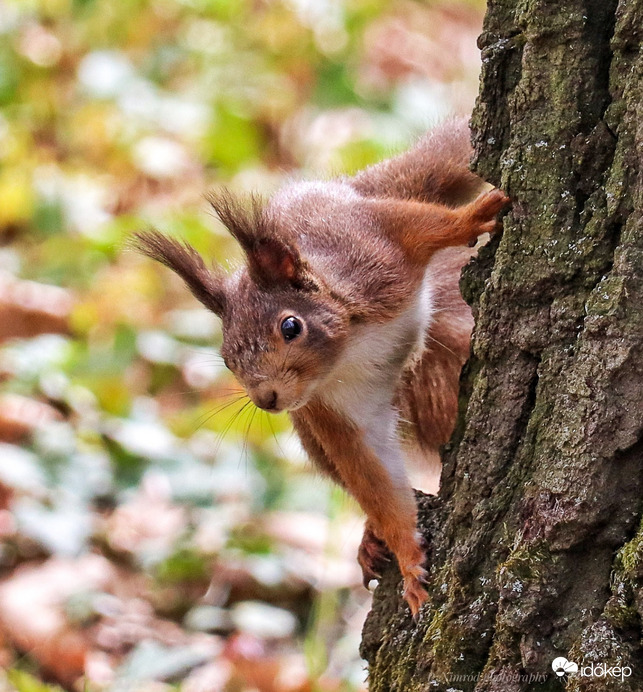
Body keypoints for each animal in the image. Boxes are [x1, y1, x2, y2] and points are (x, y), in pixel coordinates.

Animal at [135, 119, 508, 616]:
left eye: (290, 326)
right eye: (228, 359)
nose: (267, 400)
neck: (348, 352)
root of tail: (346, 187)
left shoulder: (374, 256)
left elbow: (420, 227)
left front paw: (474, 217)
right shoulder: (332, 410)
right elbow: (373, 472)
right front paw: (408, 557)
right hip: (310, 433)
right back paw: (372, 538)